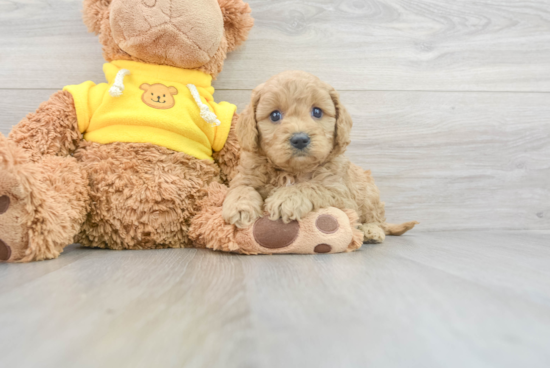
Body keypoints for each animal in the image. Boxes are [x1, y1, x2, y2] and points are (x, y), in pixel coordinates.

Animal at [224, 72, 418, 244]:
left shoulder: (340, 193)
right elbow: (241, 188)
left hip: (369, 193)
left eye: (317, 112)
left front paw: (287, 198)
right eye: (274, 115)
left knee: (378, 219)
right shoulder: (246, 174)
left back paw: (371, 230)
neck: (293, 170)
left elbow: (312, 186)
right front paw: (239, 206)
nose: (300, 139)